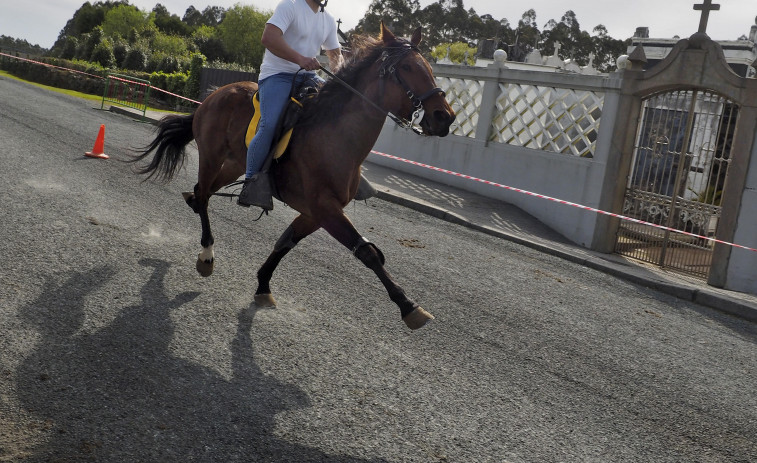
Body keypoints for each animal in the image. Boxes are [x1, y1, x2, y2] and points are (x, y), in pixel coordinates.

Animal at [131, 24, 454, 330]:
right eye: (408, 67)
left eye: (429, 68)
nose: (445, 116)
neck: (335, 135)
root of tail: (215, 94)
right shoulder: (325, 208)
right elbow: (368, 253)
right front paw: (408, 306)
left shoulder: (315, 213)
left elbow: (285, 243)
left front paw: (263, 285)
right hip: (211, 157)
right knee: (204, 196)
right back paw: (207, 255)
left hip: (234, 165)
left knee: (202, 192)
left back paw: (193, 206)